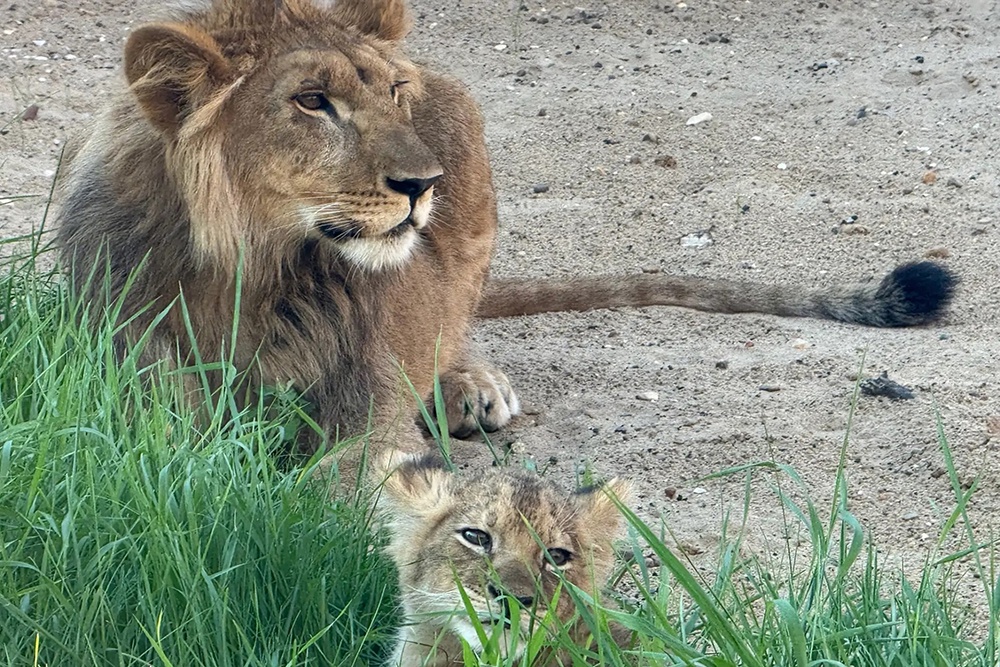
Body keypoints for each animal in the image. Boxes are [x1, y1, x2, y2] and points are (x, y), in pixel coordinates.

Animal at [55, 0, 957, 484]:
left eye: (391, 91)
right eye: (312, 100)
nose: (423, 185)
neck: (262, 268)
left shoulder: (367, 401)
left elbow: (342, 473)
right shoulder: (127, 389)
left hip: (467, 133)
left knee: (458, 316)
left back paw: (469, 387)